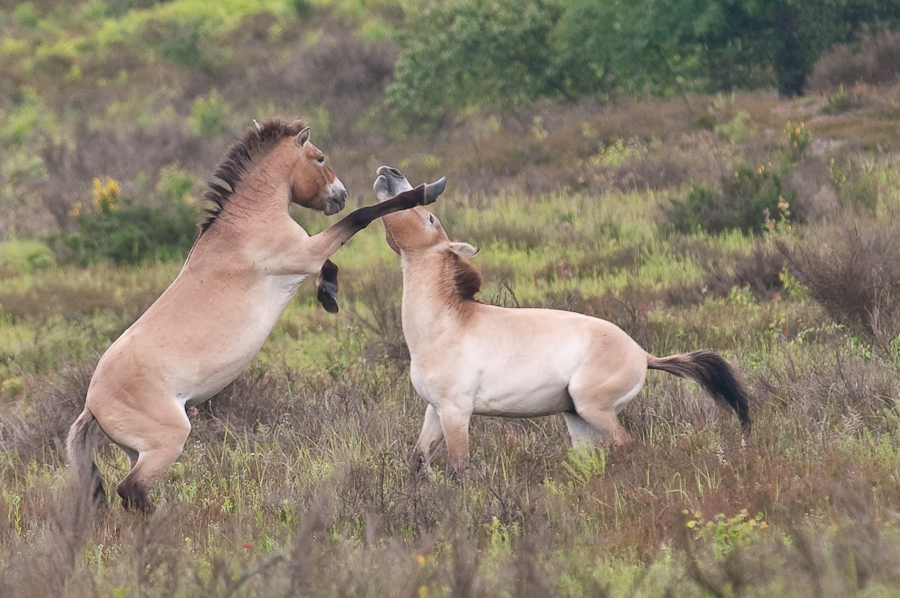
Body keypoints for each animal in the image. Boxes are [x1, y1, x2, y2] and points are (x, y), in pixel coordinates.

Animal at [66, 121, 446, 513]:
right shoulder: (304, 252)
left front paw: (328, 295)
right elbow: (359, 217)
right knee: (131, 489)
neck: (246, 225)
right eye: (319, 157)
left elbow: (333, 257)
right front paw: (426, 190)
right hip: (166, 443)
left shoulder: (304, 255)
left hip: (135, 451)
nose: (339, 195)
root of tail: (92, 406)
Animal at [373, 166, 751, 476]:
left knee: (624, 445)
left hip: (592, 407)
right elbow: (419, 460)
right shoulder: (434, 411)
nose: (389, 173)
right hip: (576, 417)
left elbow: (459, 469)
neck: (446, 326)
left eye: (430, 217)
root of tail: (643, 355)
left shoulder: (456, 413)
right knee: (590, 457)